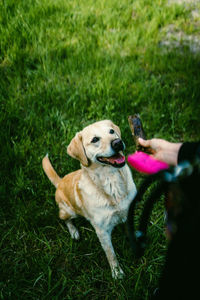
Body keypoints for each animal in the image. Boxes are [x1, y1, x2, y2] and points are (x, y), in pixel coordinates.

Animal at [42, 119, 136, 278]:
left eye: (111, 131)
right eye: (95, 139)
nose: (118, 143)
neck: (112, 183)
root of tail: (60, 182)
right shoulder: (102, 231)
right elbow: (111, 255)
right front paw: (117, 273)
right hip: (68, 211)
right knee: (65, 219)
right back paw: (74, 232)